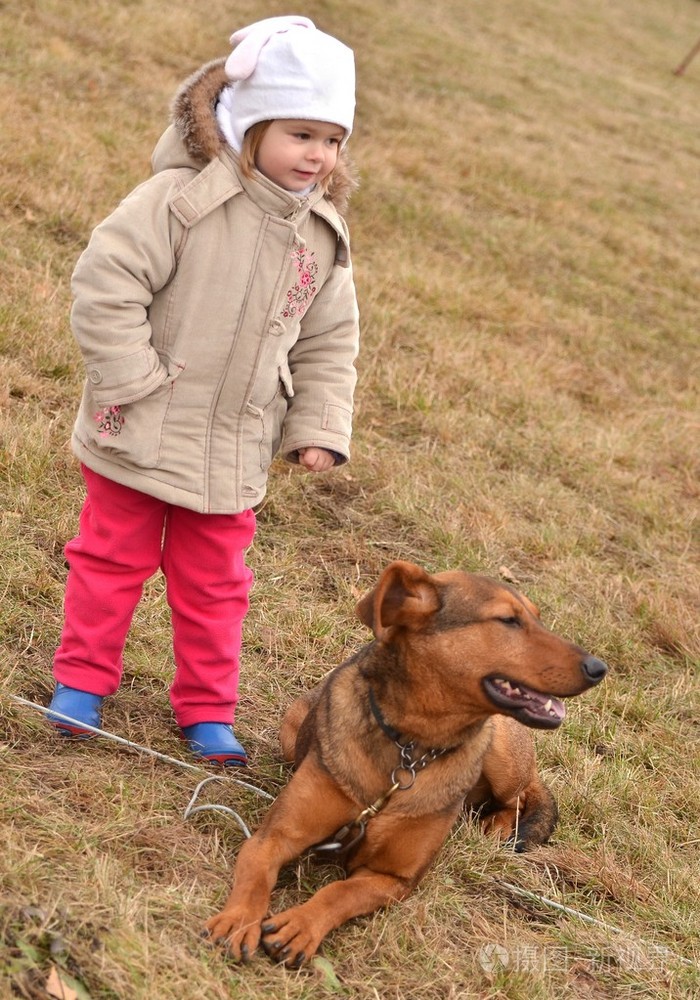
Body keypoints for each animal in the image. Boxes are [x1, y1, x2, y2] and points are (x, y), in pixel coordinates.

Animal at [204, 560, 608, 964]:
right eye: (508, 620)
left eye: (537, 618)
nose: (599, 668)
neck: (410, 747)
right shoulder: (271, 838)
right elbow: (257, 878)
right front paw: (238, 920)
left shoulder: (394, 879)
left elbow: (338, 893)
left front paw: (301, 924)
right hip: (290, 732)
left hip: (502, 754)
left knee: (521, 796)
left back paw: (496, 825)